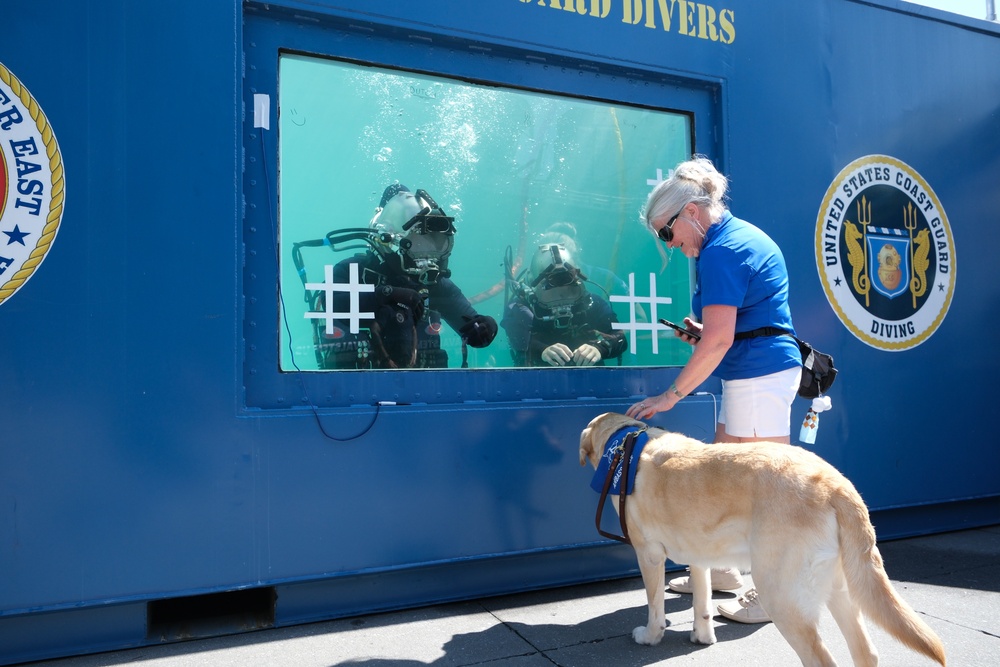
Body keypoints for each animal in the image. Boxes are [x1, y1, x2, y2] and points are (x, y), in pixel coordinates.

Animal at [580, 412, 944, 667]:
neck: (625, 446)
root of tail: (835, 483)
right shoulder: (700, 557)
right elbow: (702, 602)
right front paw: (702, 636)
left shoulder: (649, 555)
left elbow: (655, 606)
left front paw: (651, 636)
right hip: (841, 589)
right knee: (866, 653)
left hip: (780, 595)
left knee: (821, 659)